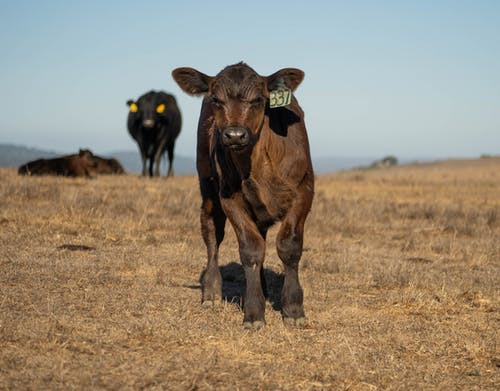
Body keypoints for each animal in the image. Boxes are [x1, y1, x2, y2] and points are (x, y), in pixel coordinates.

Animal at [172, 62, 312, 330]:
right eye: (216, 99)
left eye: (258, 99)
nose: (235, 135)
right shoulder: (230, 198)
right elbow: (251, 249)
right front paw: (254, 312)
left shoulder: (304, 191)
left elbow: (289, 246)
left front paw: (293, 309)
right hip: (208, 187)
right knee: (212, 234)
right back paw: (212, 292)